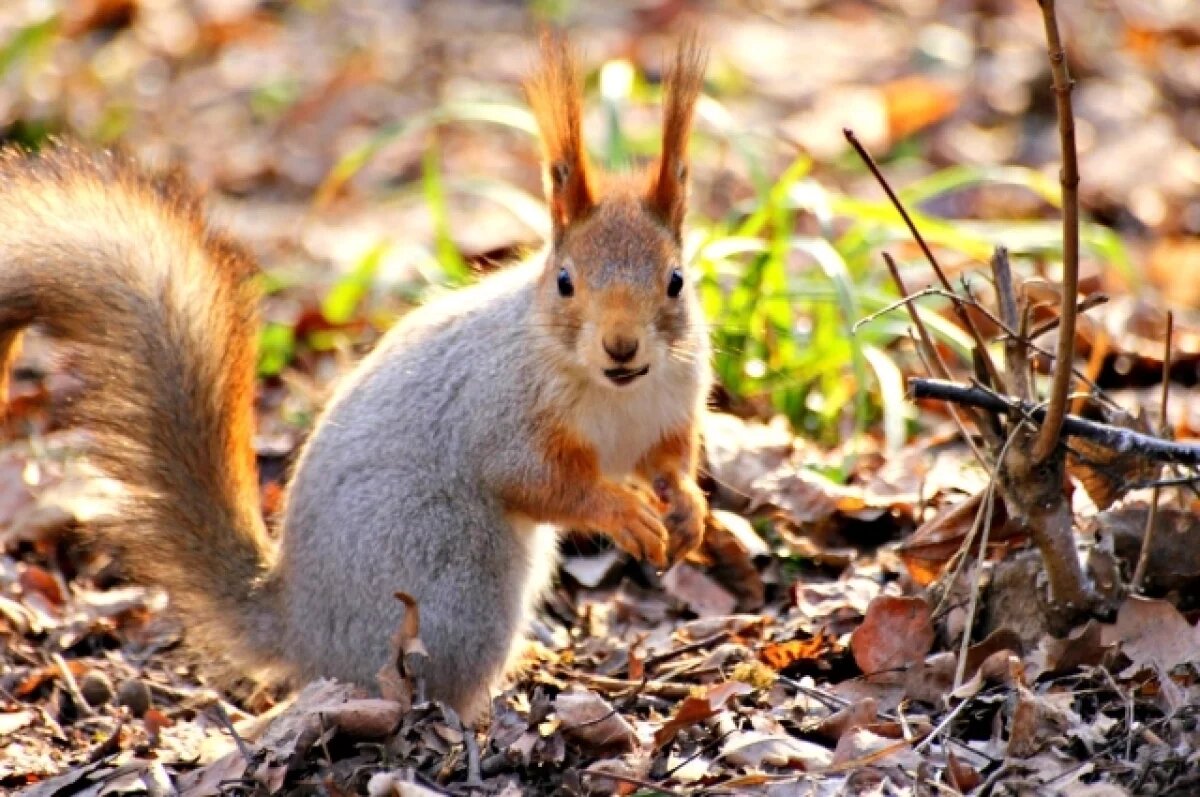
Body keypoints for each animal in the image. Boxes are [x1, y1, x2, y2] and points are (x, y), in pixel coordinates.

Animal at [0, 35, 710, 720]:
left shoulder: (672, 406)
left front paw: (687, 512)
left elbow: (669, 460)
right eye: (565, 282)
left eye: (676, 280)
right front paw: (623, 511)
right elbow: (536, 480)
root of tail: (300, 628)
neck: (616, 391)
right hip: (455, 582)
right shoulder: (502, 409)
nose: (621, 346)